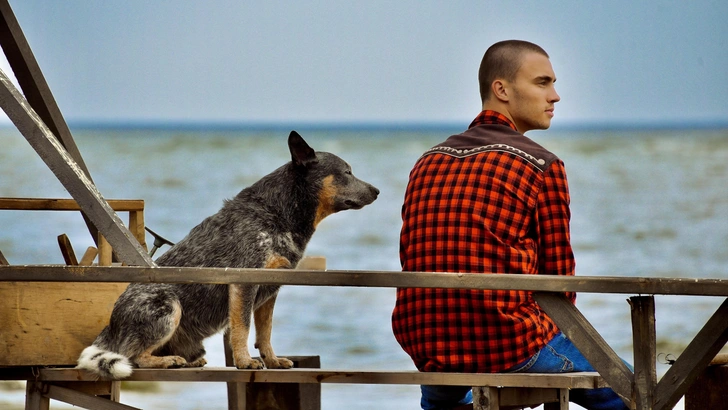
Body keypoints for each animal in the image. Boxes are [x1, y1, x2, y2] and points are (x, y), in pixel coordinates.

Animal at [77, 131, 378, 378]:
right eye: (347, 172)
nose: (377, 190)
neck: (278, 212)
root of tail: (110, 326)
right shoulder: (243, 282)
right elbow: (242, 328)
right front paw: (245, 362)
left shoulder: (271, 287)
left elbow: (265, 332)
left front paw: (272, 360)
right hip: (169, 306)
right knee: (133, 356)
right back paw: (167, 361)